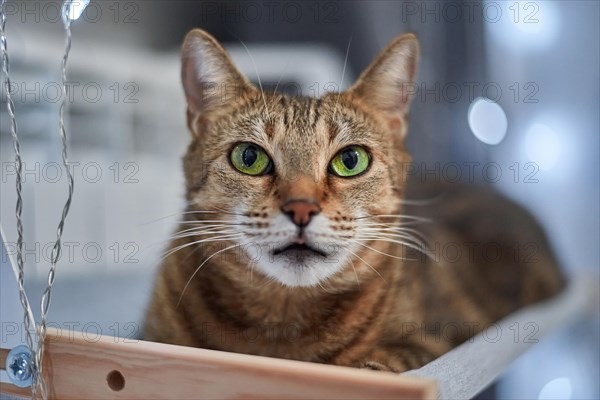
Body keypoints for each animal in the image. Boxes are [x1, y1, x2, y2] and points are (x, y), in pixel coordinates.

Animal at [143, 28, 564, 372]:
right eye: (249, 157)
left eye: (350, 160)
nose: (301, 208)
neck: (281, 329)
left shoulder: (447, 335)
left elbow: (390, 358)